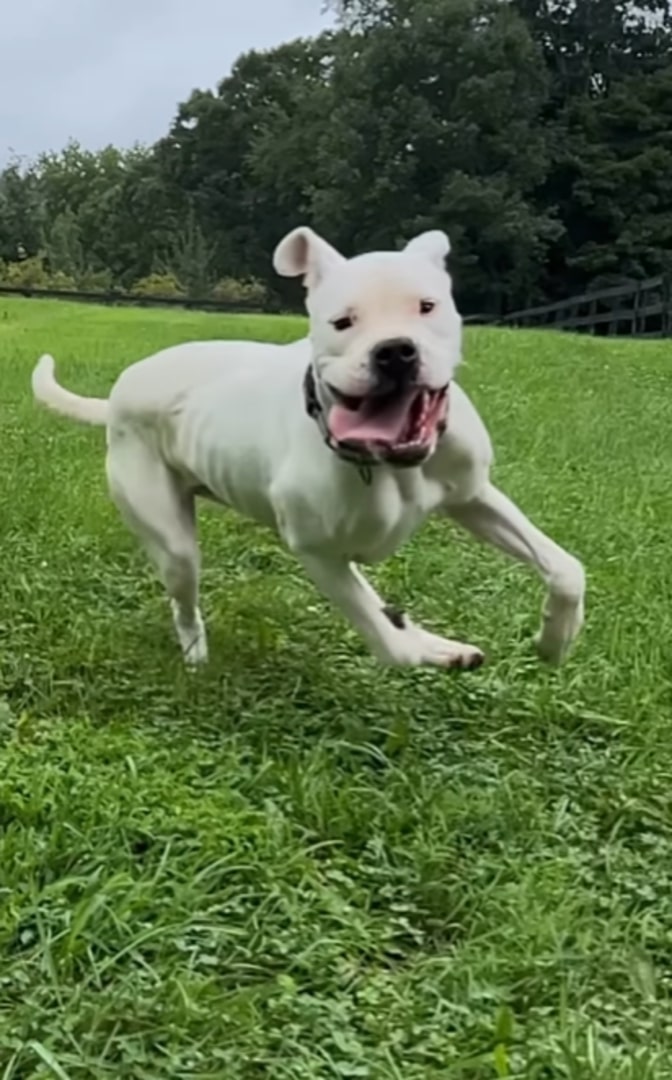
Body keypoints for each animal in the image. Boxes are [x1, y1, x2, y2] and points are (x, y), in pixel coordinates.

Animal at [31, 225, 583, 665]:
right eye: (342, 322)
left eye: (427, 306)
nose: (395, 351)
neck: (387, 465)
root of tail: (118, 394)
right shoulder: (319, 552)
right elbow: (392, 646)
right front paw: (438, 651)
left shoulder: (473, 497)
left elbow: (566, 569)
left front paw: (554, 640)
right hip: (173, 542)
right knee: (184, 599)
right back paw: (195, 654)